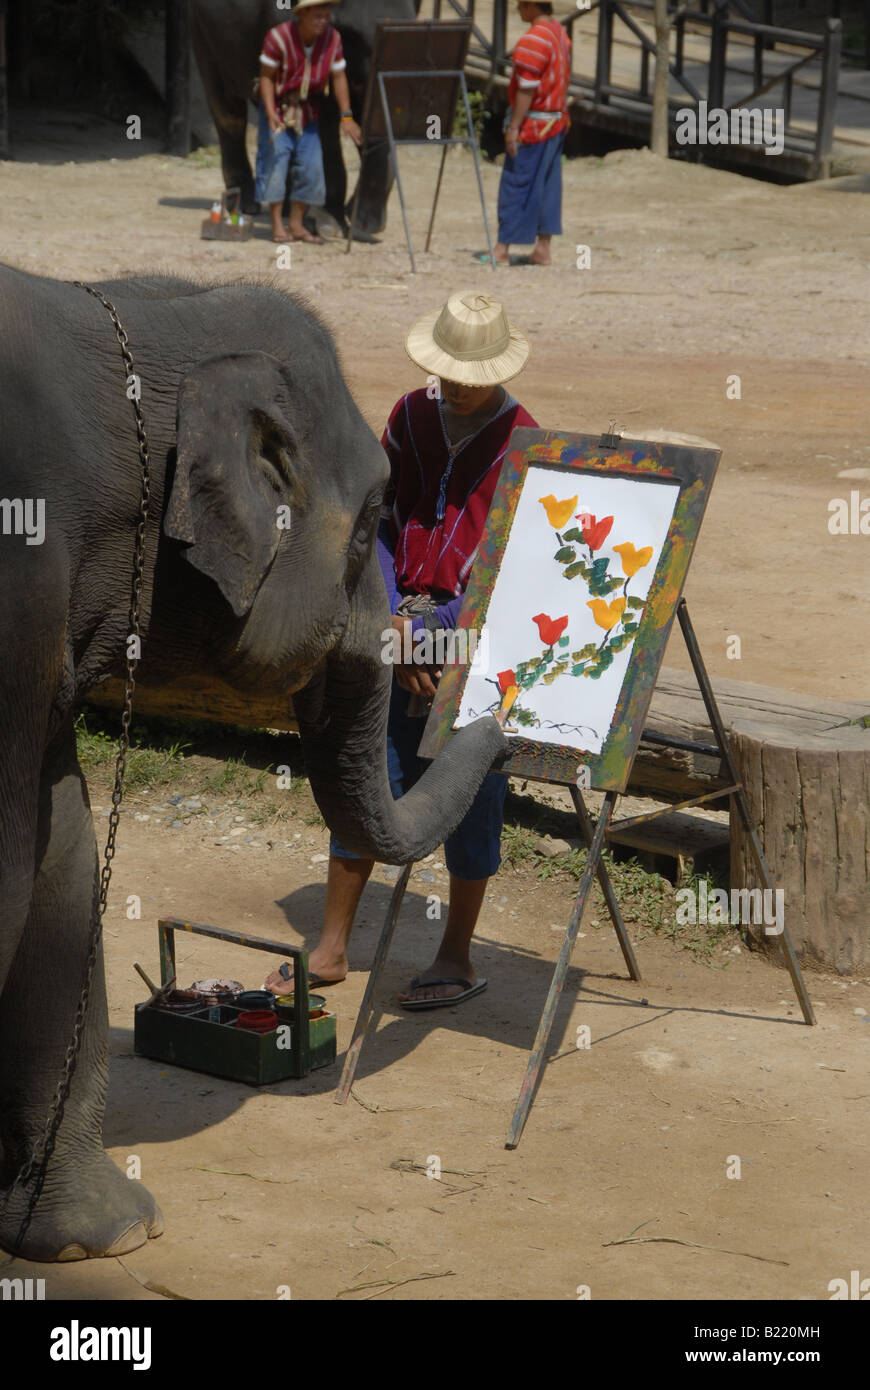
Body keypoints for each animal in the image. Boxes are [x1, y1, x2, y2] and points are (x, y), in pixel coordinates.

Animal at [191, 0, 419, 236]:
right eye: (351, 32)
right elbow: (322, 121)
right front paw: (329, 224)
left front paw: (363, 224)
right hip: (203, 35)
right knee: (228, 111)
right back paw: (246, 204)